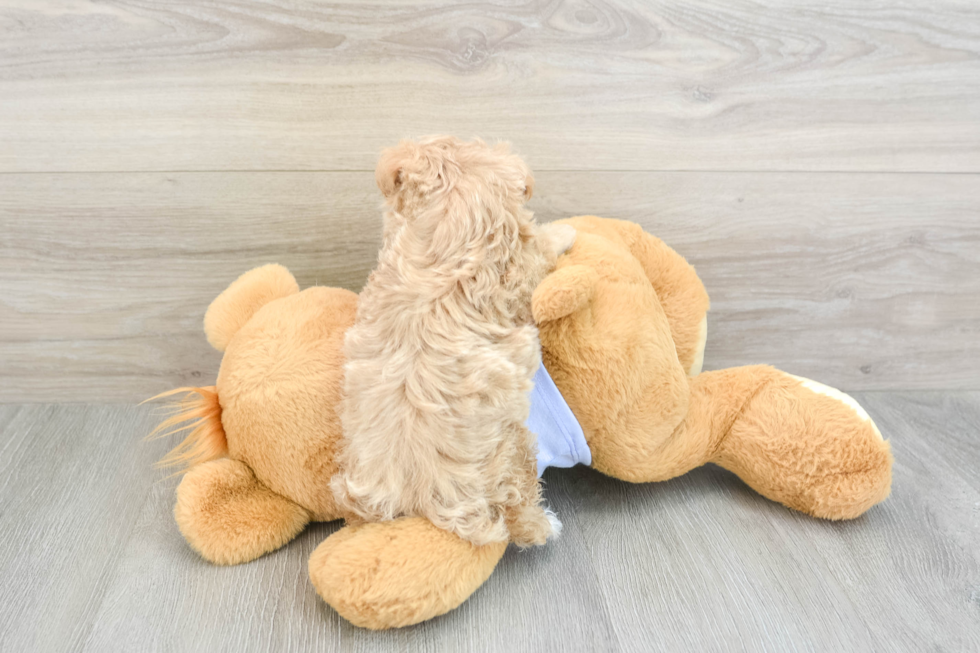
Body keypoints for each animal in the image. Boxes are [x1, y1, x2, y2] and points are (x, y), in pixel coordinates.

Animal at [332, 136, 576, 544]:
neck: (454, 202)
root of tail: (427, 496)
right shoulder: (519, 261)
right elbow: (541, 245)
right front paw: (567, 232)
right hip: (513, 446)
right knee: (521, 502)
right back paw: (544, 524)